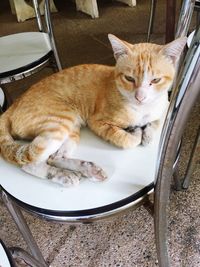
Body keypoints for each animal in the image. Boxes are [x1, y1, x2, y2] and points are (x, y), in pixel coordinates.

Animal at [0, 35, 186, 186]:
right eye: (129, 78)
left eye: (155, 80)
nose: (140, 97)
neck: (142, 109)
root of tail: (12, 106)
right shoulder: (96, 121)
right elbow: (128, 140)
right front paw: (136, 132)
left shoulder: (164, 106)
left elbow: (156, 121)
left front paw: (147, 133)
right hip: (60, 122)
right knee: (30, 163)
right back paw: (63, 175)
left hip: (71, 129)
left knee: (55, 157)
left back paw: (87, 170)